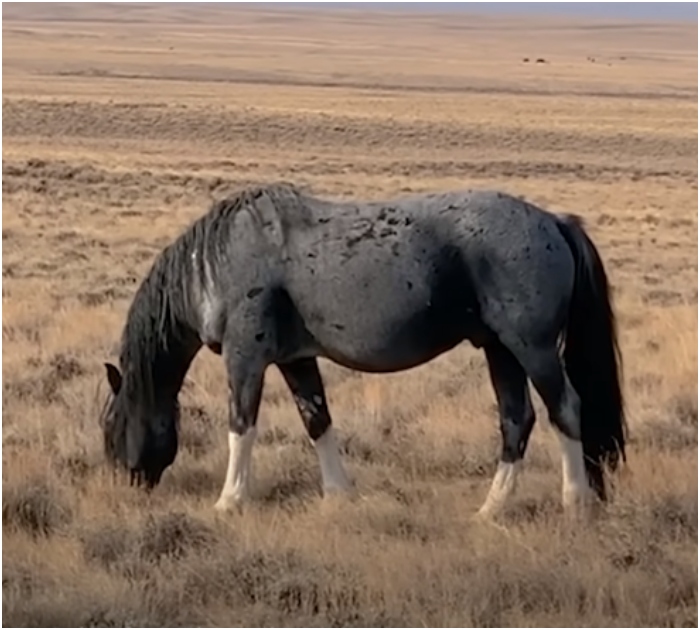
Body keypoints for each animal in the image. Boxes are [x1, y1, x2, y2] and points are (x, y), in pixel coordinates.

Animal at [100, 181, 628, 520]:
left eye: (111, 425)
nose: (124, 485)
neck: (217, 260)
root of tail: (553, 222)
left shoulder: (245, 358)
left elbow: (241, 428)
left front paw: (230, 501)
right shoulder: (296, 359)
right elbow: (317, 421)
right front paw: (338, 494)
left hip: (531, 347)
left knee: (566, 409)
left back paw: (576, 502)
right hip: (499, 350)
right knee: (517, 420)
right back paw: (490, 509)